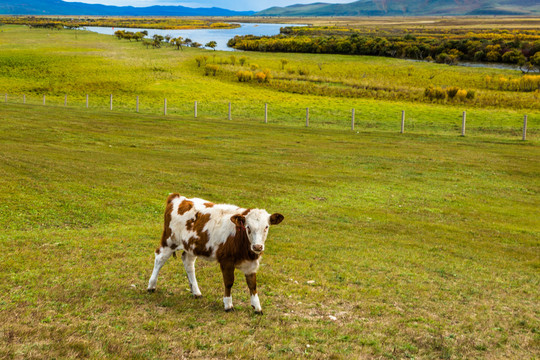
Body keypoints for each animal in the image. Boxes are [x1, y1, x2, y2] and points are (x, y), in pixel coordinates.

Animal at [146, 193, 284, 314]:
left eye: (266, 227)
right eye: (248, 227)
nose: (258, 246)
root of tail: (179, 198)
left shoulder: (251, 264)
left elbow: (252, 285)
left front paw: (257, 307)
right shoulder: (226, 260)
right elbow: (229, 282)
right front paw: (228, 305)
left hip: (191, 246)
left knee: (188, 264)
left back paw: (196, 292)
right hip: (169, 241)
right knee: (159, 258)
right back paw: (151, 286)